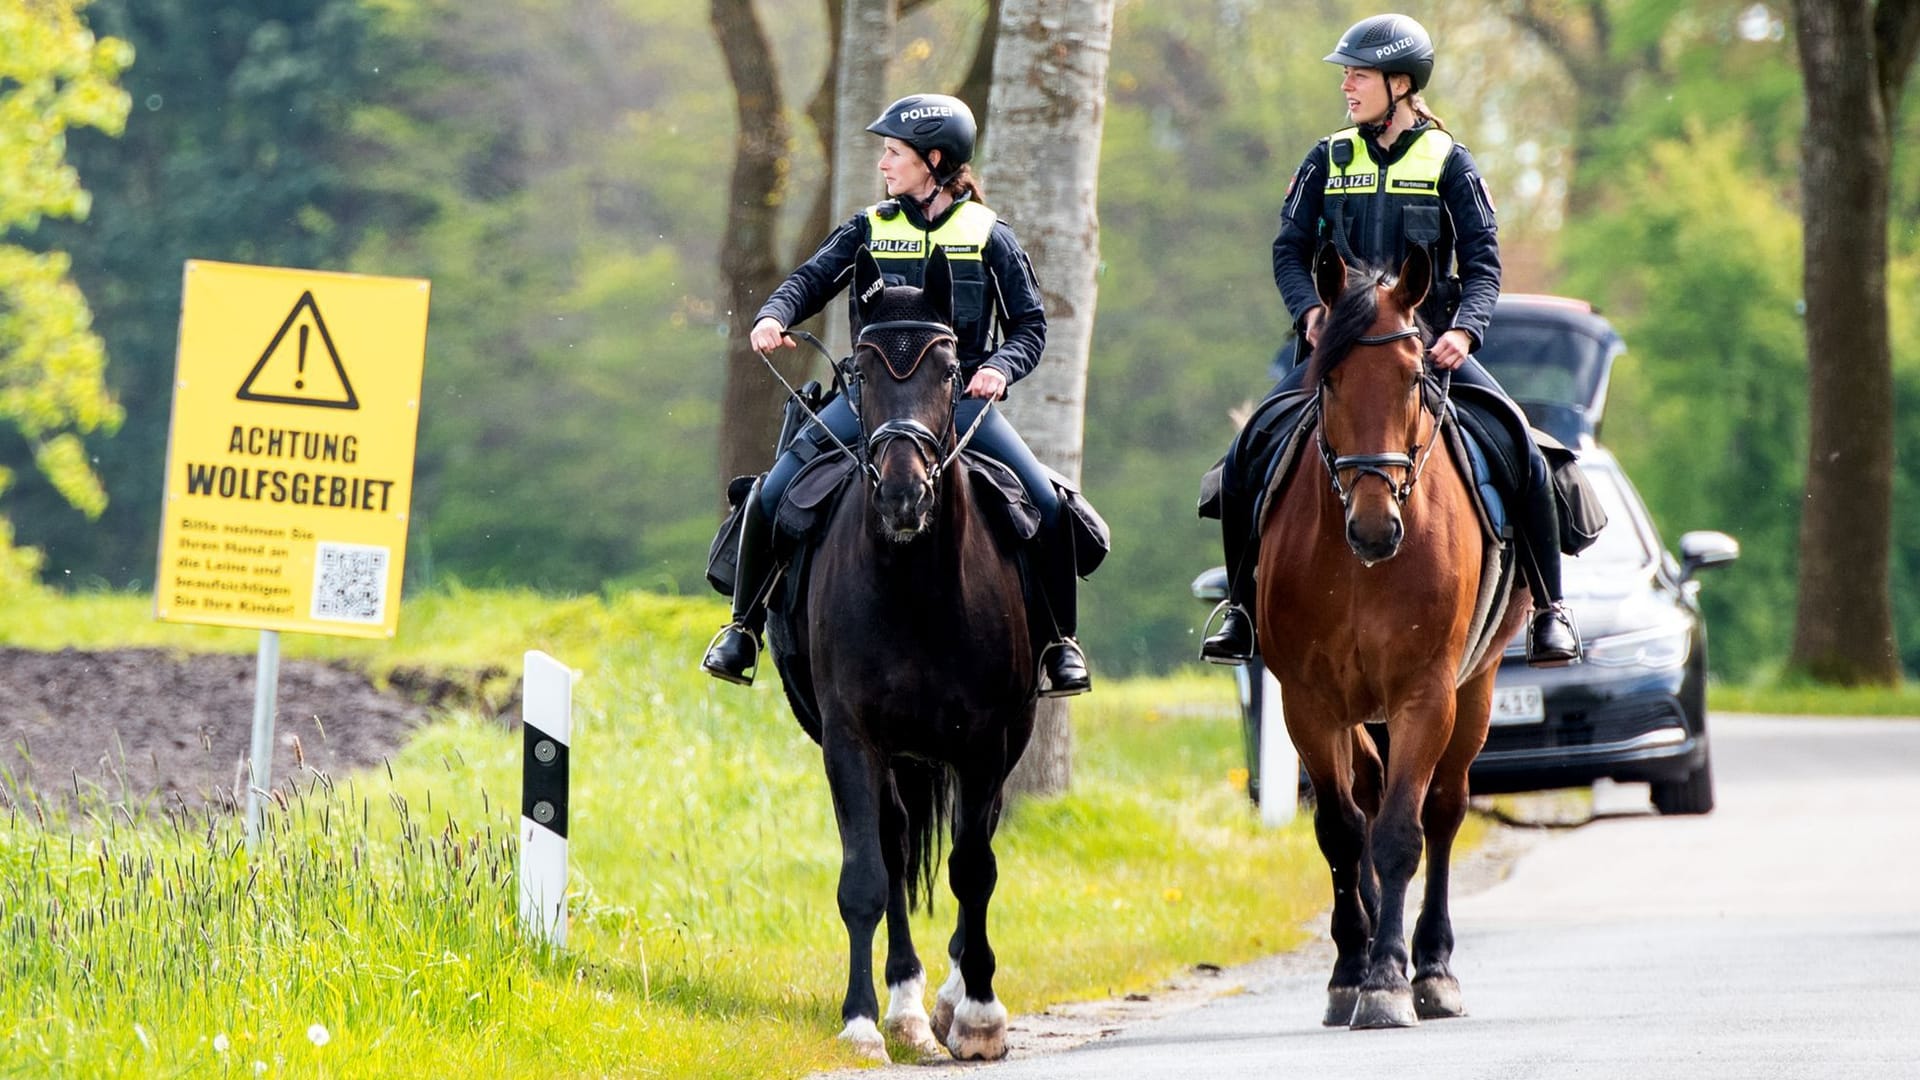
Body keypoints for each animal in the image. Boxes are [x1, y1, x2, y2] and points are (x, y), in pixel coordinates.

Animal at [764, 244, 1036, 1060]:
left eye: (949, 370)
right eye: (863, 369)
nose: (903, 497)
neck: (917, 591)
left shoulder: (987, 742)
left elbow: (973, 870)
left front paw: (978, 1015)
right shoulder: (852, 739)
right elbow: (867, 879)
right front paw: (863, 1022)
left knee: (963, 855)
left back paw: (946, 999)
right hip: (896, 758)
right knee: (892, 853)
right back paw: (910, 1008)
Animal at [1259, 244, 1528, 1022]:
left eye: (1415, 377)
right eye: (1330, 377)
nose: (1375, 528)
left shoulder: (1424, 693)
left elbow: (1403, 834)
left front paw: (1387, 979)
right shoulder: (1309, 703)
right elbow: (1342, 831)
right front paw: (1351, 970)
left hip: (1475, 689)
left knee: (1441, 810)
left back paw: (1432, 965)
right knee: (1368, 796)